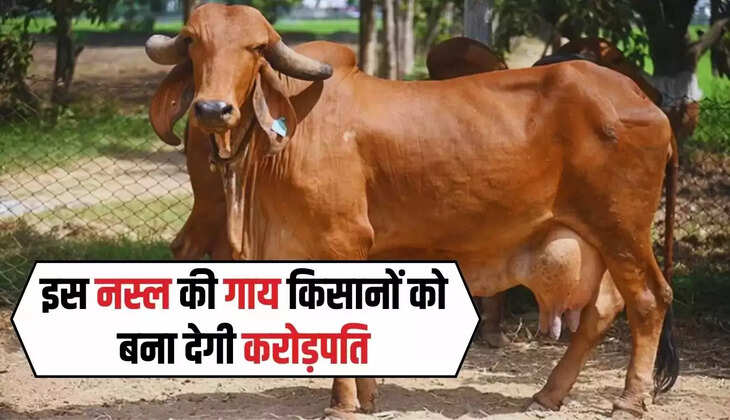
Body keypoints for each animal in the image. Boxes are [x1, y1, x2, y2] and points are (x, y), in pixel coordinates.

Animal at [146, 4, 678, 416]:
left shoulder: (343, 241)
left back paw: (630, 401)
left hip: (621, 229)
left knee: (649, 300)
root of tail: (646, 102)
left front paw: (343, 403)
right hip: (598, 237)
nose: (212, 110)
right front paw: (367, 396)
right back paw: (548, 395)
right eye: (193, 42)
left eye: (256, 48)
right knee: (603, 310)